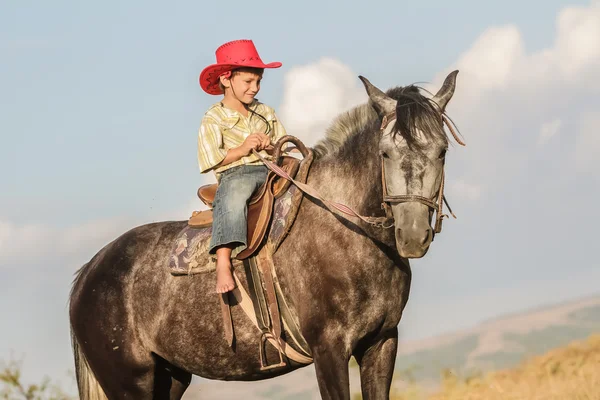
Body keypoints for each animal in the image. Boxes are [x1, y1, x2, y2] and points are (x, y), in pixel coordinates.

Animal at [69, 70, 460, 398]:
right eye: (385, 153)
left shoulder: (382, 342)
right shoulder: (329, 349)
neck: (349, 234)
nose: (413, 235)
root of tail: (87, 273)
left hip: (170, 376)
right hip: (131, 383)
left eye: (442, 151)